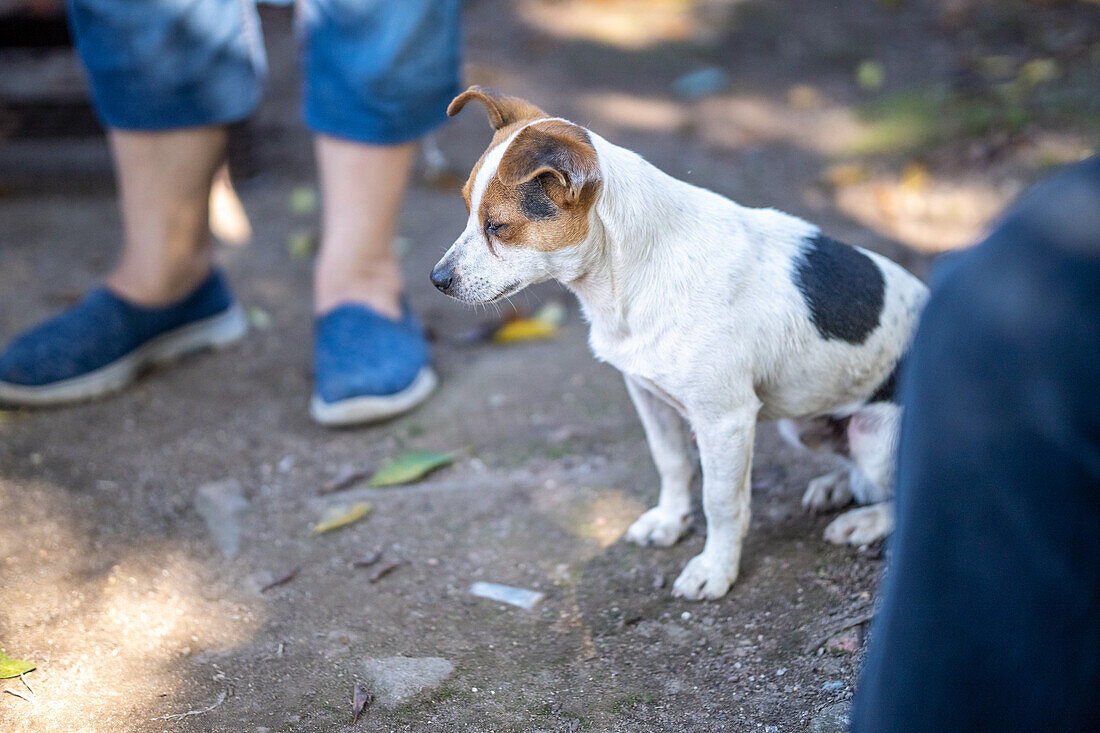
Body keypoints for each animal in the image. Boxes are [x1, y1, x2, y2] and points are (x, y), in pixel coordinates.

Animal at [431, 85, 928, 598]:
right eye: (468, 211)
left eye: (497, 226)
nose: (437, 280)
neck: (629, 276)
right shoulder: (647, 394)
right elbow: (671, 462)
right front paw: (670, 521)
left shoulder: (725, 421)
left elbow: (722, 502)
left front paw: (716, 568)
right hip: (803, 425)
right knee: (853, 470)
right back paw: (835, 487)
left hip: (876, 441)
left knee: (898, 493)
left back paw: (866, 520)